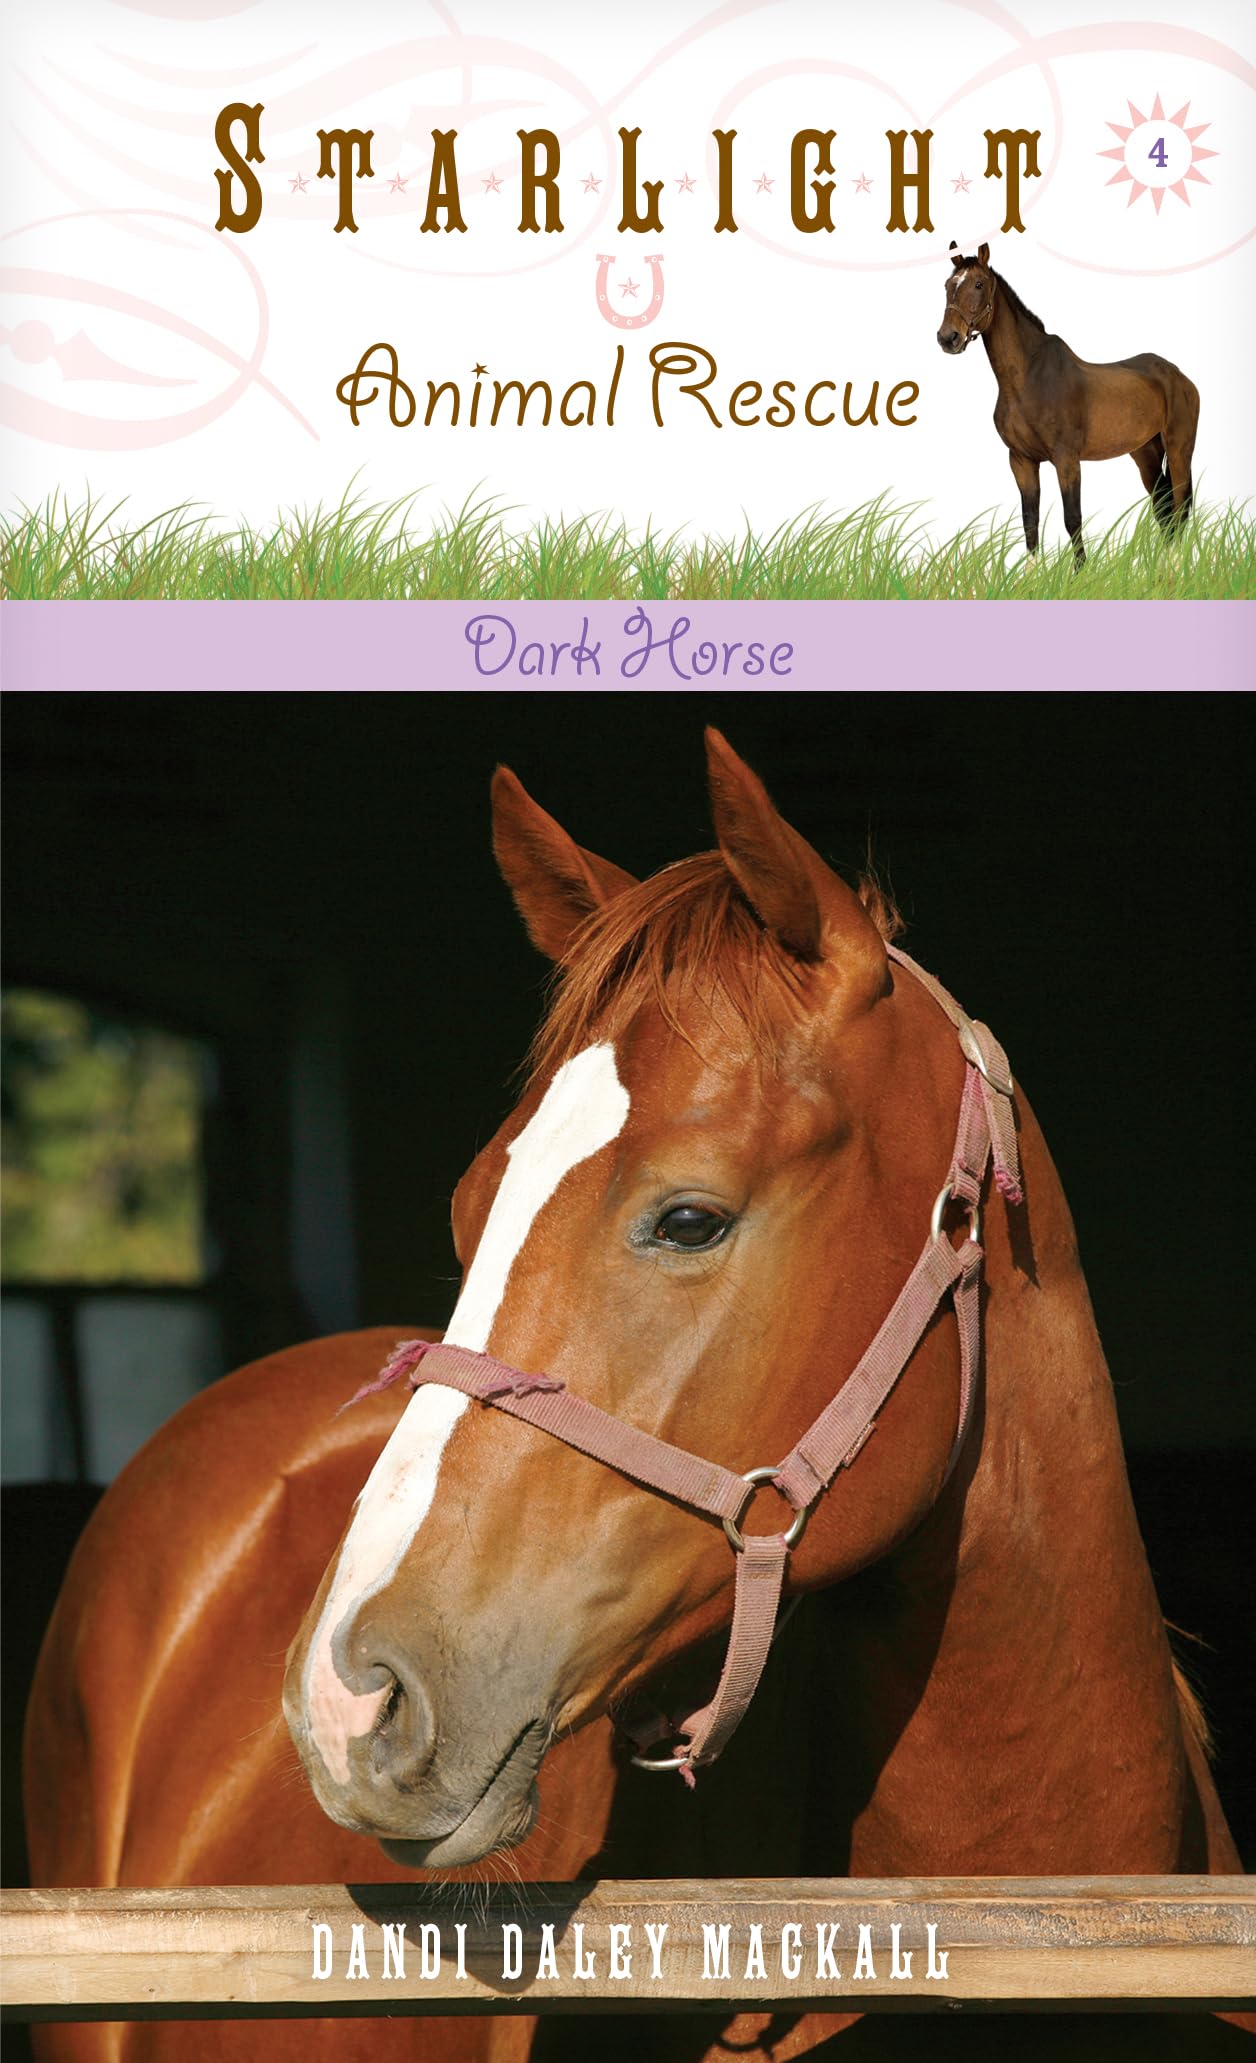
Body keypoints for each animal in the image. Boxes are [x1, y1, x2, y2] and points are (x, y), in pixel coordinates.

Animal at [937, 242, 1200, 565]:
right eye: (948, 285)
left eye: (978, 284)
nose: (948, 338)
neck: (1027, 378)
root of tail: (1179, 375)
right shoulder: (1021, 460)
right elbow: (1030, 520)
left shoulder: (1066, 460)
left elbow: (1072, 518)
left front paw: (1081, 572)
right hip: (1145, 452)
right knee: (1163, 508)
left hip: (1179, 448)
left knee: (1179, 505)